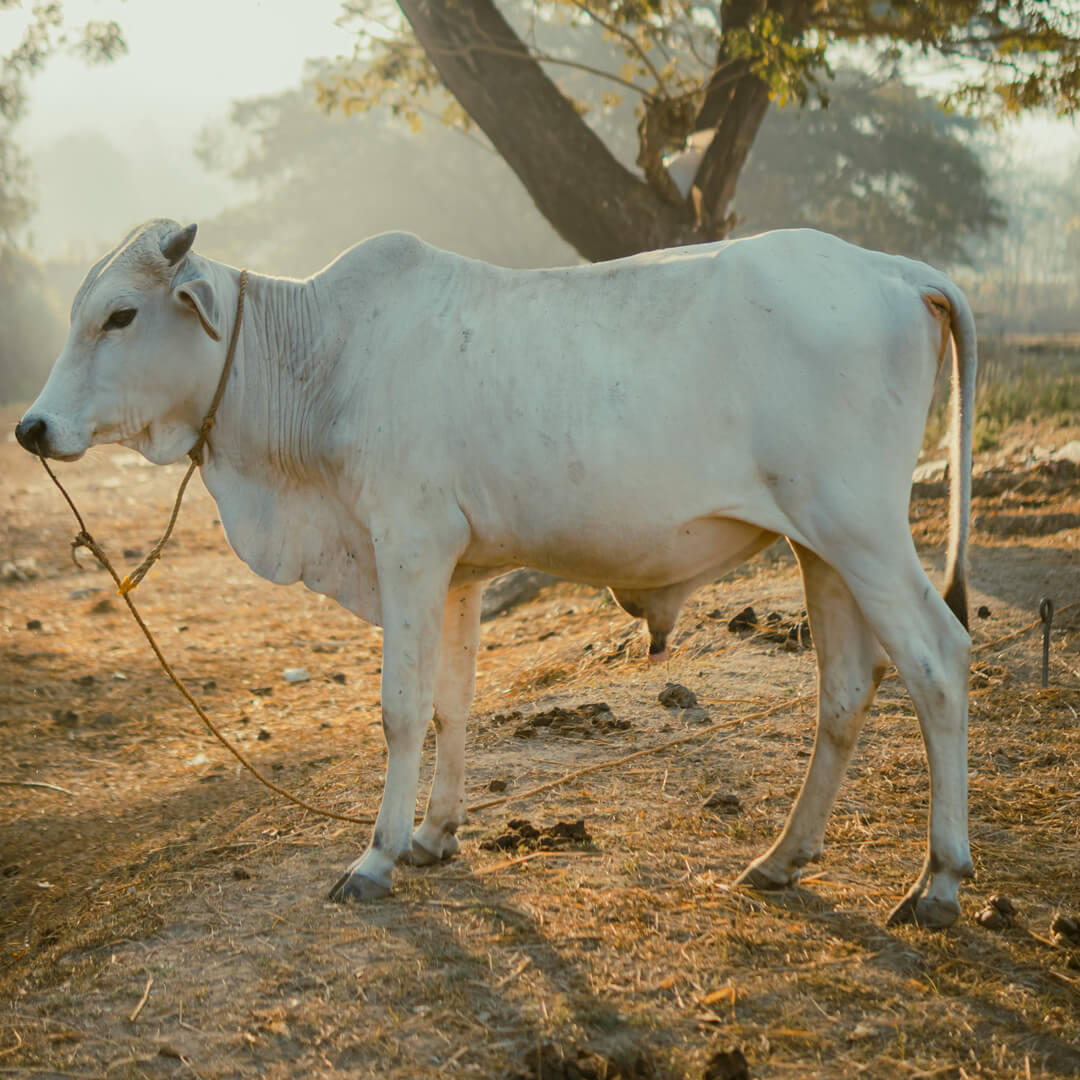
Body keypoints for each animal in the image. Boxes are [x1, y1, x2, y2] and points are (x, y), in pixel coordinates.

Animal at [15, 219, 976, 927]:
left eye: (120, 316)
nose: (32, 428)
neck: (317, 358)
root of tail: (894, 270)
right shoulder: (460, 571)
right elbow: (453, 701)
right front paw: (435, 835)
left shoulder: (408, 544)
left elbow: (402, 709)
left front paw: (376, 855)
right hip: (822, 547)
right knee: (845, 686)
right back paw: (782, 857)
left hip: (862, 530)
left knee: (939, 662)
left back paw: (939, 879)